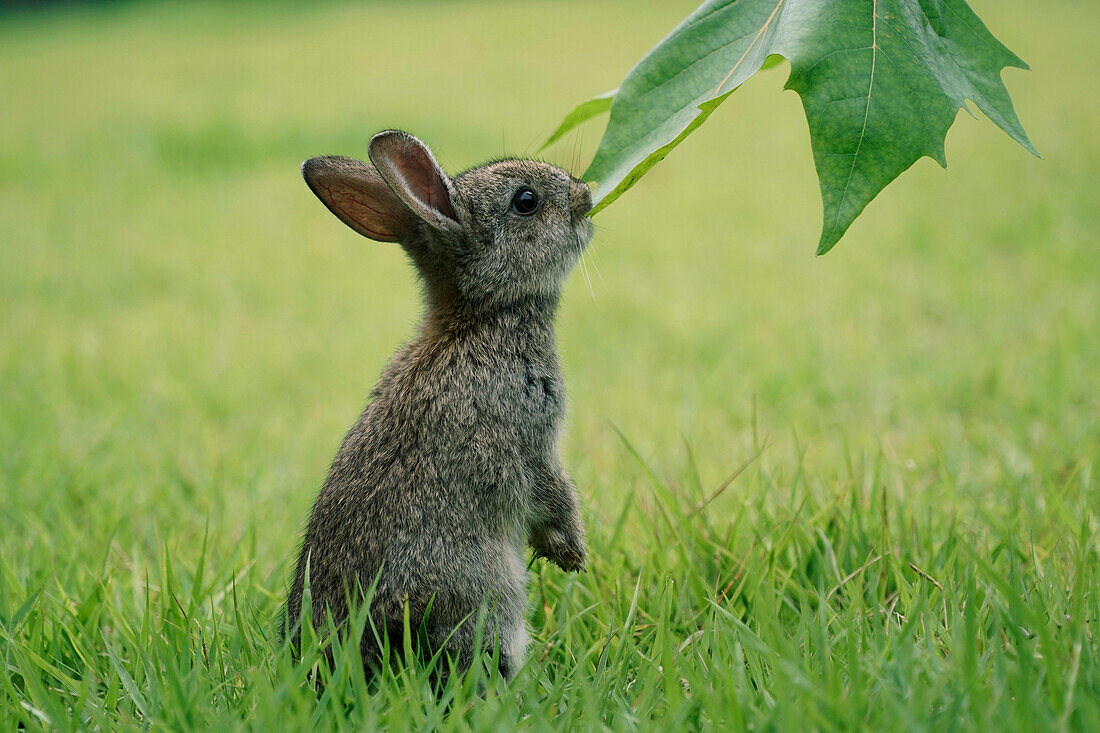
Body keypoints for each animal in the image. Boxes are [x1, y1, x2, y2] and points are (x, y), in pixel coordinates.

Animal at [283, 129, 594, 677]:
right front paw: (572, 553)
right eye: (526, 201)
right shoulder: (531, 437)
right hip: (485, 595)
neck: (479, 317)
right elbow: (553, 491)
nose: (587, 197)